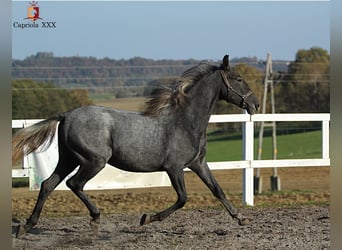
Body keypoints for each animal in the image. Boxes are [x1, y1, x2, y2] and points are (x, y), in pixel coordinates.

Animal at [13, 54, 260, 236]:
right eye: (238, 78)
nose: (255, 104)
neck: (185, 121)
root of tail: (66, 115)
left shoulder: (198, 163)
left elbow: (217, 190)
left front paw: (241, 218)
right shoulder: (174, 167)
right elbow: (182, 198)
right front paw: (146, 218)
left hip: (69, 159)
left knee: (48, 185)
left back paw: (26, 226)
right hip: (93, 161)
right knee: (74, 184)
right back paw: (95, 219)